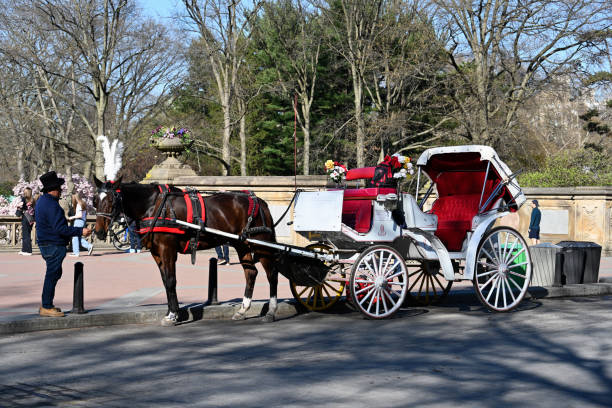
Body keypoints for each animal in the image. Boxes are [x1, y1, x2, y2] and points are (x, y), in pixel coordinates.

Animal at [91, 177, 280, 326]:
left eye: (111, 201)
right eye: (95, 201)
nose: (99, 232)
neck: (154, 206)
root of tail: (260, 201)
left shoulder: (167, 249)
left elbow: (170, 280)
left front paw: (173, 315)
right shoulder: (157, 253)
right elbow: (165, 281)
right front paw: (170, 312)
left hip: (261, 244)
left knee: (272, 274)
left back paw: (271, 311)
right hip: (241, 244)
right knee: (251, 272)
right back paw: (243, 310)